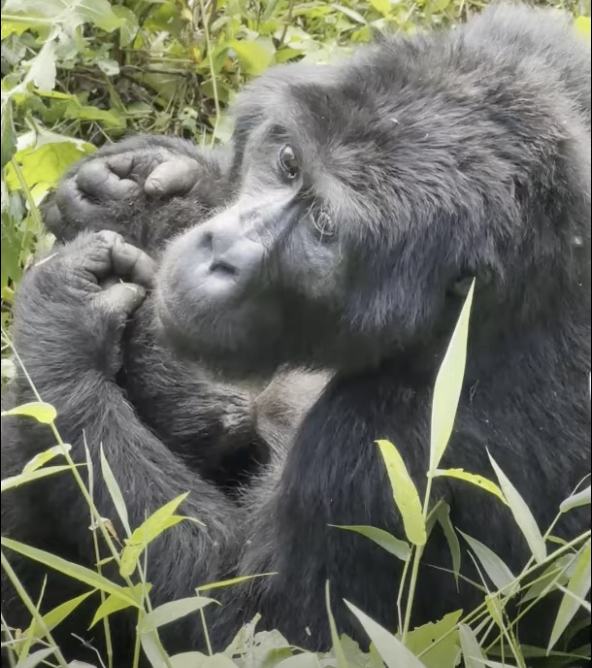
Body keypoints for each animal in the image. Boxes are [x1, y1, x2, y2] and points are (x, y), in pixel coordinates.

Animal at [2, 3, 588, 664]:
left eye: (324, 226)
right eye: (287, 164)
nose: (221, 252)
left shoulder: (389, 445)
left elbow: (252, 628)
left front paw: (61, 338)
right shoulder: (533, 47)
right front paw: (154, 188)